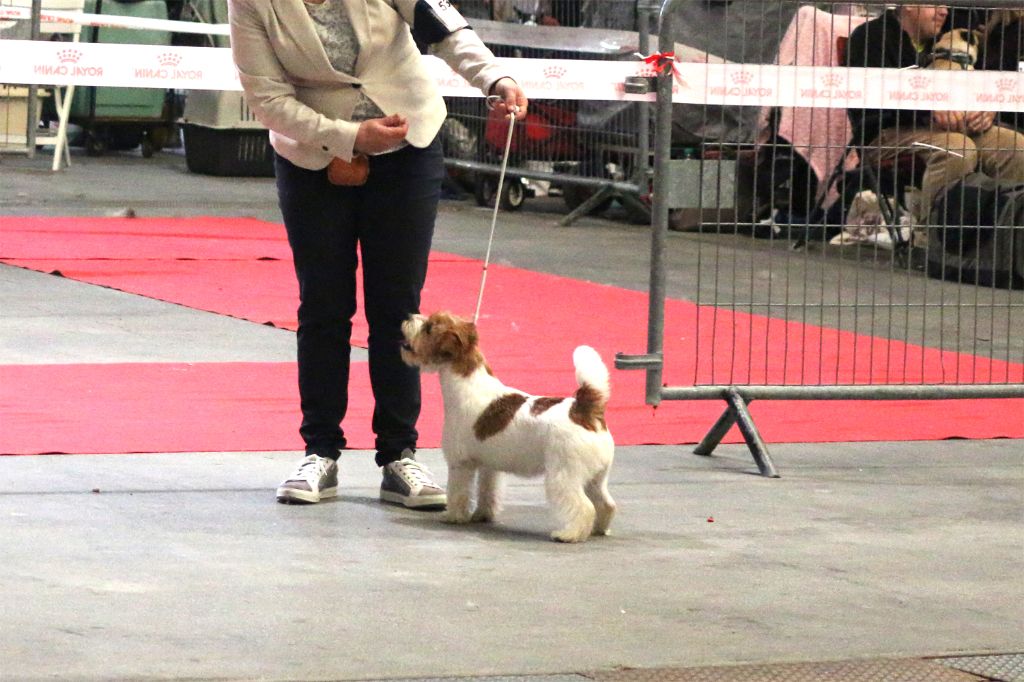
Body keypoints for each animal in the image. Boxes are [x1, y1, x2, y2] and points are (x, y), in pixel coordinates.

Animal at [400, 311, 616, 543]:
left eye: (429, 328)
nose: (409, 316)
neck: (466, 382)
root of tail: (585, 410)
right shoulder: (489, 466)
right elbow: (487, 492)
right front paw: (482, 515)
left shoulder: (460, 464)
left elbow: (458, 492)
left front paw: (454, 516)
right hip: (596, 477)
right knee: (606, 504)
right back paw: (599, 529)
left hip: (564, 475)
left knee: (584, 507)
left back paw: (569, 534)